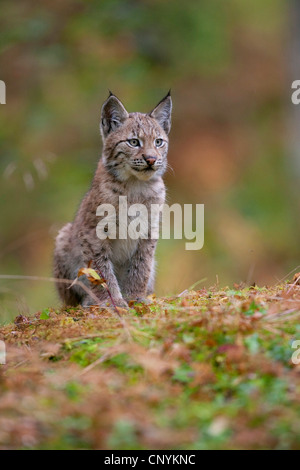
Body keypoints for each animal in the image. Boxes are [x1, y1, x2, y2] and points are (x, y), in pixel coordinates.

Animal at [52, 92, 172, 308]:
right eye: (134, 142)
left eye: (158, 142)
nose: (151, 159)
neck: (135, 185)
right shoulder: (93, 232)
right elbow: (101, 271)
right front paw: (112, 301)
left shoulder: (149, 229)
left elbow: (141, 265)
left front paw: (135, 297)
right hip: (64, 236)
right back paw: (87, 301)